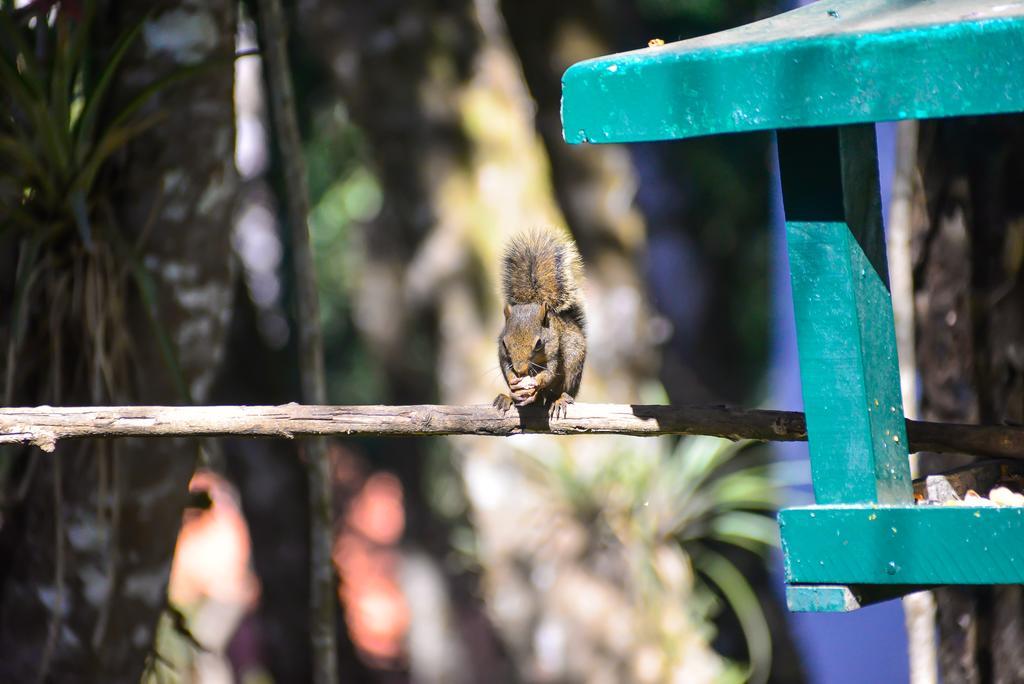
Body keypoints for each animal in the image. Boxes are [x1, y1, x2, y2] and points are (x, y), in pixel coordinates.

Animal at [493, 228, 589, 417]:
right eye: (505, 344)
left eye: (539, 344)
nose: (521, 370)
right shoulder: (503, 354)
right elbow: (507, 368)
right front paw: (513, 381)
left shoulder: (554, 350)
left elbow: (549, 374)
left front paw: (535, 382)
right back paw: (508, 397)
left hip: (573, 367)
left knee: (560, 391)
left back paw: (559, 399)